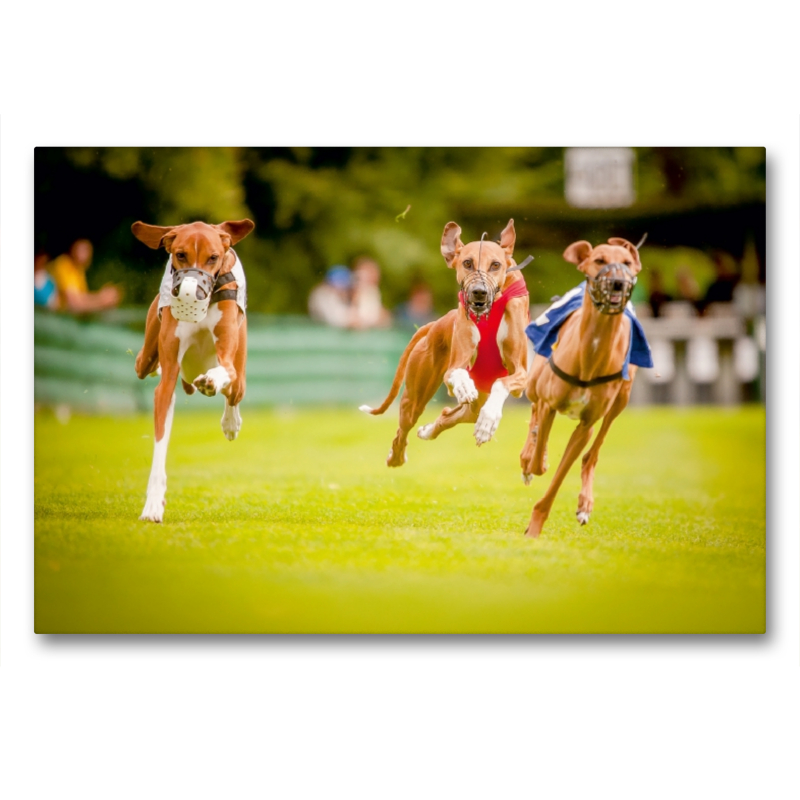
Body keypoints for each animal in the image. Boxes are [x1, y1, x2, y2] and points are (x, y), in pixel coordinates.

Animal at [132, 219, 253, 520]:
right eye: (180, 254)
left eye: (213, 257)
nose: (193, 292)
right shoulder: (166, 383)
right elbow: (159, 445)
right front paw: (153, 504)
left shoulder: (228, 360)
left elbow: (224, 373)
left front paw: (210, 382)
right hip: (148, 354)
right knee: (144, 363)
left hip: (240, 372)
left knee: (234, 391)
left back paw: (230, 422)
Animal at [362, 220, 532, 468]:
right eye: (467, 263)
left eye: (496, 265)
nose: (479, 292)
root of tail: (435, 324)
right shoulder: (456, 365)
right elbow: (457, 373)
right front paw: (463, 386)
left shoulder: (520, 374)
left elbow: (502, 384)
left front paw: (488, 422)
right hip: (415, 396)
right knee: (404, 428)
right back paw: (397, 456)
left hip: (474, 403)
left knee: (455, 414)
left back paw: (432, 430)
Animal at [520, 238, 656, 536]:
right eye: (599, 260)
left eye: (627, 263)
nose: (617, 283)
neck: (591, 351)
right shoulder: (550, 403)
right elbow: (539, 460)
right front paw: (535, 459)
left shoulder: (586, 425)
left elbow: (564, 470)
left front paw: (536, 524)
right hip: (534, 383)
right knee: (534, 410)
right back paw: (529, 453)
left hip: (621, 400)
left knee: (592, 454)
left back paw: (585, 503)